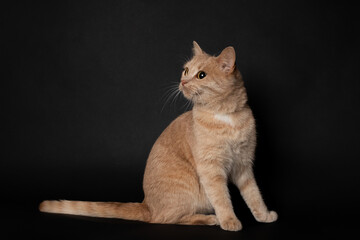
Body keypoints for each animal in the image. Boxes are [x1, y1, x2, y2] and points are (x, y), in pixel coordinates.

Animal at [39, 41, 278, 231]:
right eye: (186, 70)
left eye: (201, 75)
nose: (183, 82)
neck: (226, 117)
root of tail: (147, 205)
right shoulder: (211, 170)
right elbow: (222, 199)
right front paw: (229, 220)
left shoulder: (243, 165)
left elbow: (254, 195)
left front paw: (264, 216)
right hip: (189, 189)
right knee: (165, 219)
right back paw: (210, 219)